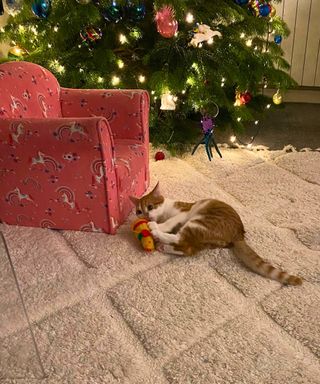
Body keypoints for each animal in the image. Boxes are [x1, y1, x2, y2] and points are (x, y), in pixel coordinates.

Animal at [130, 182, 302, 284]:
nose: (146, 216)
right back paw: (163, 246)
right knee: (188, 248)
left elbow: (168, 223)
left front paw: (156, 226)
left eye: (150, 207)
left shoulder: (183, 213)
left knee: (182, 241)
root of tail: (238, 233)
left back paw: (158, 234)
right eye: (139, 211)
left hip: (199, 221)